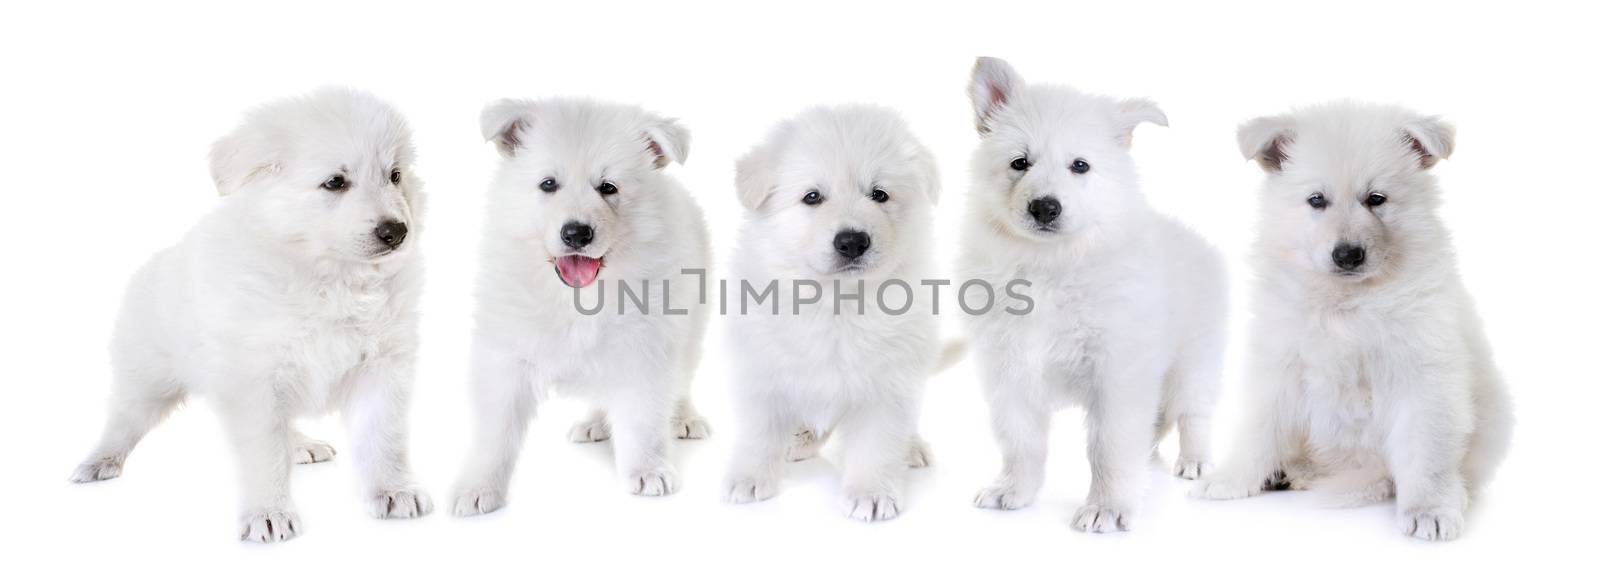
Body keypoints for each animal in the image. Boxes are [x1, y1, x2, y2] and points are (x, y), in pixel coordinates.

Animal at [71, 87, 432, 540]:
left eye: (395, 175)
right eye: (335, 182)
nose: (396, 232)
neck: (329, 276)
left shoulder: (382, 365)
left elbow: (384, 437)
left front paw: (393, 490)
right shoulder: (255, 379)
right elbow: (265, 452)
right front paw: (268, 512)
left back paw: (303, 444)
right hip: (146, 376)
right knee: (123, 418)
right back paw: (99, 460)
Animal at [454, 96, 710, 515]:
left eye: (608, 187)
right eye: (548, 184)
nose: (576, 233)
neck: (577, 298)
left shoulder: (645, 347)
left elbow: (644, 417)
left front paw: (647, 469)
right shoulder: (506, 357)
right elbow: (496, 430)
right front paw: (479, 486)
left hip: (691, 327)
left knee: (682, 379)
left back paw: (684, 417)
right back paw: (597, 422)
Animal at [723, 103, 940, 518]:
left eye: (879, 194)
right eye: (812, 197)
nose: (852, 242)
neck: (835, 302)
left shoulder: (888, 382)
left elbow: (877, 443)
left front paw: (871, 493)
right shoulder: (760, 370)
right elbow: (759, 431)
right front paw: (750, 478)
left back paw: (911, 448)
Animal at [953, 56, 1228, 531]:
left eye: (1079, 166)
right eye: (1020, 162)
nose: (1045, 207)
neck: (1051, 264)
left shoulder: (1116, 370)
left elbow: (1109, 447)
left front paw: (1107, 507)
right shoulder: (1009, 368)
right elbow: (1020, 439)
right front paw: (1014, 490)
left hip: (1196, 360)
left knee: (1193, 412)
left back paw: (1193, 461)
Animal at [1196, 101, 1516, 540]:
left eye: (1376, 198)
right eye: (1316, 200)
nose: (1347, 254)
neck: (1346, 302)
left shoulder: (1422, 375)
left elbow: (1426, 450)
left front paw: (1429, 508)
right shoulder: (1281, 364)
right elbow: (1260, 428)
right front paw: (1231, 478)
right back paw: (1290, 471)